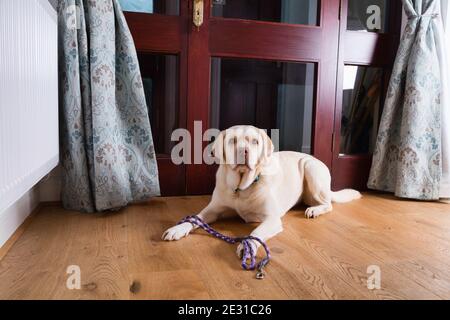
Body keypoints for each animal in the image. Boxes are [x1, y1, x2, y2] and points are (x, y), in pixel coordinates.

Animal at [163, 125, 362, 258]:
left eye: (254, 142)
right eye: (232, 141)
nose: (244, 151)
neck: (241, 188)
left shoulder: (271, 219)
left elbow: (256, 233)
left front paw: (248, 245)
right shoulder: (212, 210)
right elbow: (194, 218)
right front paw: (177, 229)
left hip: (311, 170)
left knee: (328, 204)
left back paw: (315, 209)